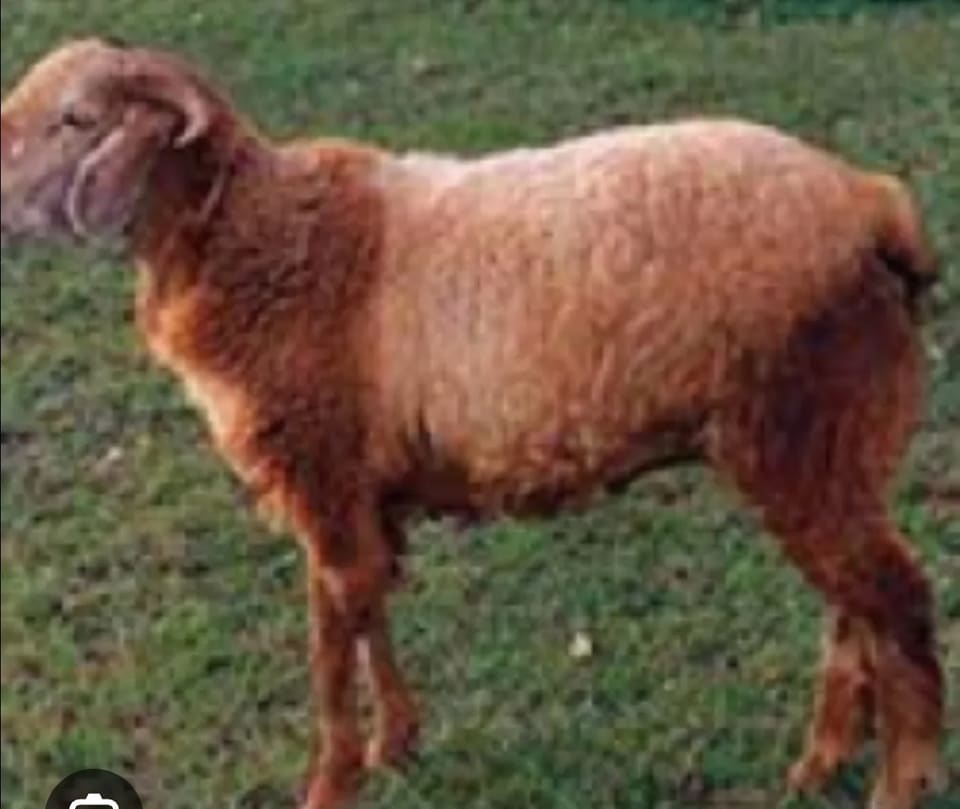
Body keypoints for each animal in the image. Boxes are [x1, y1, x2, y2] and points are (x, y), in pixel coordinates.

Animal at [0, 39, 945, 809]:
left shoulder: (322, 477)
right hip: (835, 447)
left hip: (807, 433)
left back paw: (894, 783)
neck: (261, 238)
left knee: (898, 604)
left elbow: (330, 650)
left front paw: (333, 781)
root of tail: (873, 204)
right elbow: (370, 613)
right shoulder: (357, 496)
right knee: (854, 611)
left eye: (76, 119)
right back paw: (818, 765)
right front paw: (398, 743)